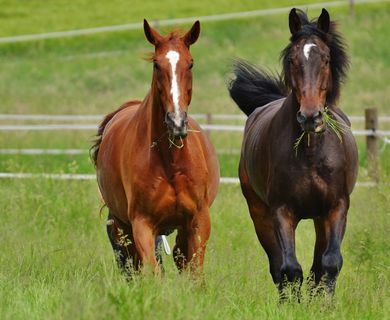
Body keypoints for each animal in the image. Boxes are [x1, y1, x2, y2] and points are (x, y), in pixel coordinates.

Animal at [92, 20, 219, 276]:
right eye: (156, 64)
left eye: (190, 63)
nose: (176, 121)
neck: (170, 161)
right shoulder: (142, 224)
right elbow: (152, 272)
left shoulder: (198, 221)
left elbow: (194, 273)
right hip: (123, 226)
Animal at [229, 8, 360, 294]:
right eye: (292, 59)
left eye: (326, 58)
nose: (310, 116)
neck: (311, 153)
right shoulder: (281, 211)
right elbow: (289, 269)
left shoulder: (337, 207)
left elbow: (329, 263)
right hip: (259, 214)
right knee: (278, 266)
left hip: (320, 219)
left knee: (317, 265)